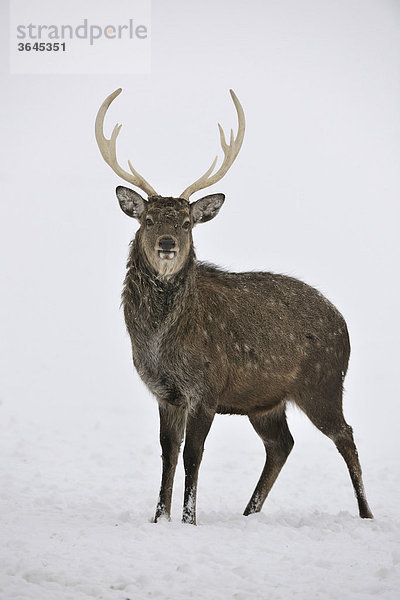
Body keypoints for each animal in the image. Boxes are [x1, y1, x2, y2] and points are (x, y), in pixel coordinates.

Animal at [95, 86, 374, 524]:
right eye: (148, 220)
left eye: (187, 223)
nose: (167, 244)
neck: (160, 344)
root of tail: (343, 322)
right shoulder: (165, 393)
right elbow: (168, 455)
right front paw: (159, 518)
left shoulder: (206, 389)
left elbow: (193, 456)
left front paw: (189, 520)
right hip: (266, 401)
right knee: (282, 443)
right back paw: (249, 512)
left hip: (324, 382)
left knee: (344, 435)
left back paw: (366, 514)